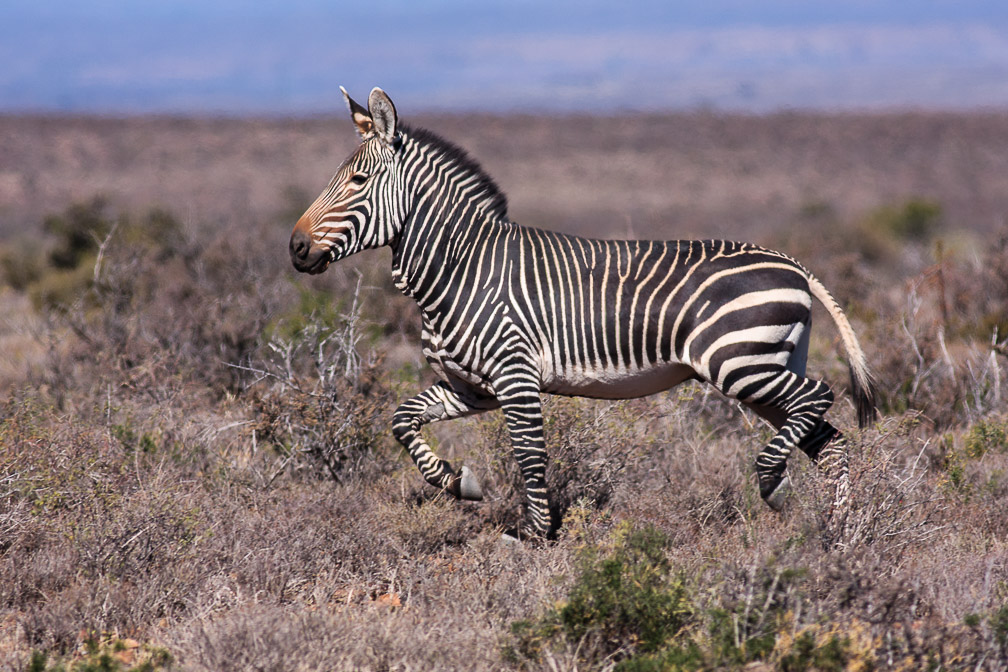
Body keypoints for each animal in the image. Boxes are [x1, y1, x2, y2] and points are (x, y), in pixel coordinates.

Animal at [290, 88, 874, 540]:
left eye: (359, 182)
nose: (295, 248)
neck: (461, 268)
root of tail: (793, 264)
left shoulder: (515, 375)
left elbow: (529, 455)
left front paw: (533, 538)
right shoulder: (472, 387)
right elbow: (402, 419)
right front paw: (461, 483)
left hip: (741, 363)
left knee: (820, 398)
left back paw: (774, 485)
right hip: (767, 367)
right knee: (828, 440)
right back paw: (840, 535)